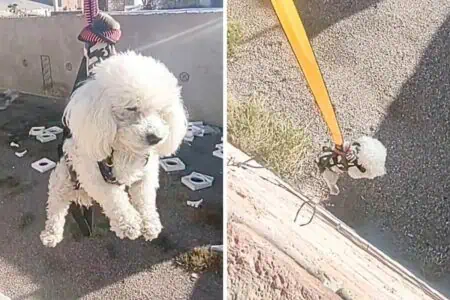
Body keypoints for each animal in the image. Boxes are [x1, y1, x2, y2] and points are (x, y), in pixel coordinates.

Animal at [40, 51, 188, 247]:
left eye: (161, 111)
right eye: (131, 107)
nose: (155, 138)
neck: (127, 150)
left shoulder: (146, 173)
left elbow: (145, 197)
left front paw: (150, 223)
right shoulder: (92, 174)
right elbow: (114, 198)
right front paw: (129, 223)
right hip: (63, 177)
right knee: (56, 206)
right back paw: (51, 234)